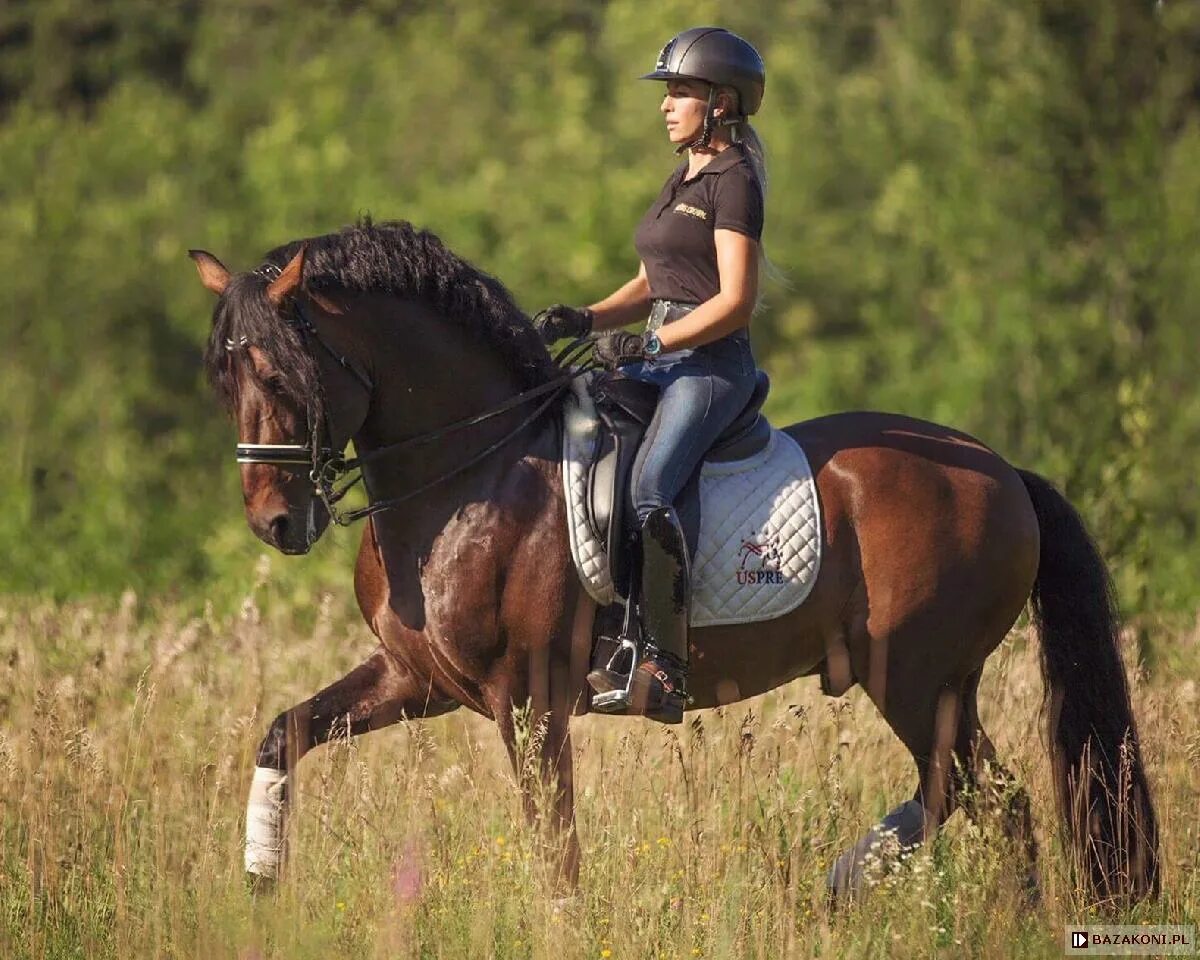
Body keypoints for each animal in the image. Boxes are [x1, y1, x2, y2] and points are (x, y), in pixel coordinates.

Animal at [192, 219, 1156, 907]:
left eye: (281, 376)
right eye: (226, 380)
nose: (277, 523)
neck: (471, 473)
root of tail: (1006, 473)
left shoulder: (527, 700)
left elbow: (556, 854)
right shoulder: (416, 677)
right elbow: (284, 732)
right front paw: (259, 883)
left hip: (918, 676)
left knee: (977, 795)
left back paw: (857, 884)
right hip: (935, 683)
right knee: (985, 801)